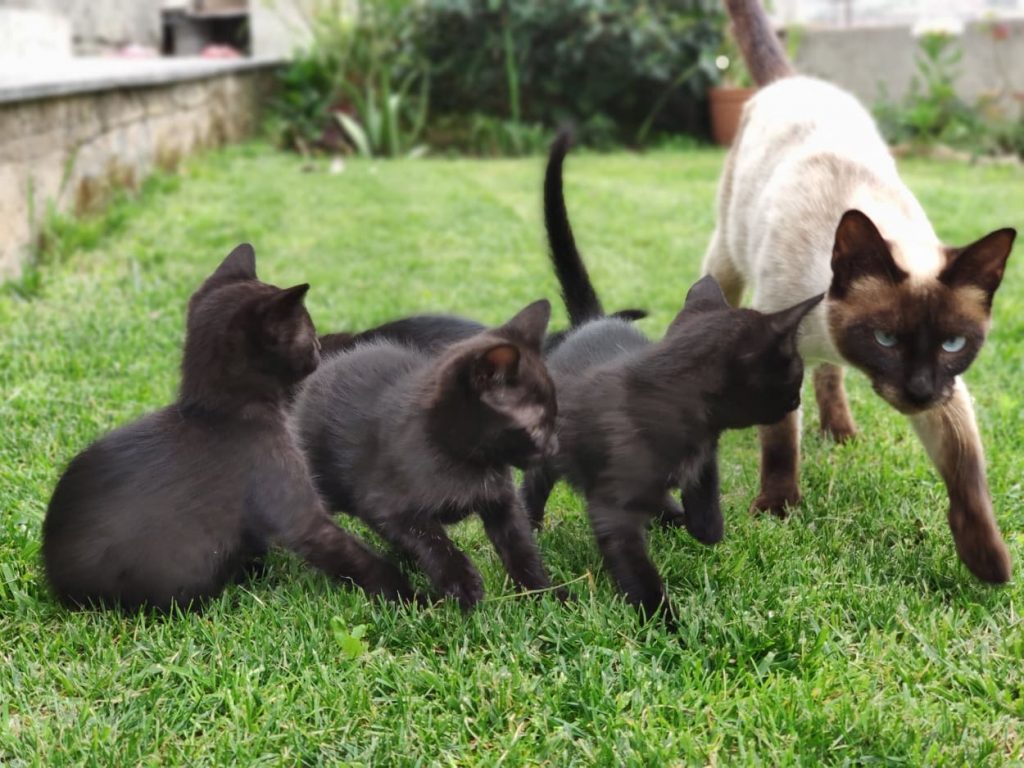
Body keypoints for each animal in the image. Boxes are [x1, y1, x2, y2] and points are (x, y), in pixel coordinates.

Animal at [42, 244, 417, 612]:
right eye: (308, 334)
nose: (320, 349)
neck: (220, 412)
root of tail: (58, 586)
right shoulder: (286, 494)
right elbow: (340, 548)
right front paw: (404, 592)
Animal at [291, 300, 563, 611]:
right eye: (536, 426)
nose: (554, 447)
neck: (467, 460)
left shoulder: (502, 500)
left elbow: (519, 544)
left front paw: (544, 592)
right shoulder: (385, 504)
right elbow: (431, 540)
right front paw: (463, 585)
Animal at [521, 134, 823, 625]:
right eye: (794, 373)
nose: (797, 400)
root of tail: (591, 321)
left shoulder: (705, 454)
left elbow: (706, 504)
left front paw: (701, 525)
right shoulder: (612, 506)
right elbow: (633, 564)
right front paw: (665, 622)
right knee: (534, 485)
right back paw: (532, 525)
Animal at [704, 0, 1017, 583]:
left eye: (953, 345)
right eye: (886, 339)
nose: (917, 392)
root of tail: (794, 80)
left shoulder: (948, 396)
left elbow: (967, 475)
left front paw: (989, 564)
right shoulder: (777, 351)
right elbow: (779, 443)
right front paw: (777, 509)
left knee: (828, 376)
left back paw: (839, 430)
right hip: (727, 258)